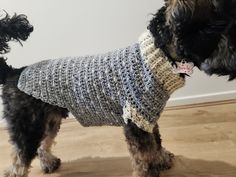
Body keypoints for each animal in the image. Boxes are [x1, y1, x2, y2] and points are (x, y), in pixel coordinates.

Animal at [1, 0, 236, 177]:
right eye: (217, 27)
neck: (154, 59)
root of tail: (15, 72)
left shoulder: (147, 118)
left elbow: (157, 142)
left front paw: (161, 159)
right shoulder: (136, 122)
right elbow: (145, 157)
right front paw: (151, 170)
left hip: (49, 120)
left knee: (43, 143)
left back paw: (48, 162)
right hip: (27, 126)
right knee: (18, 163)